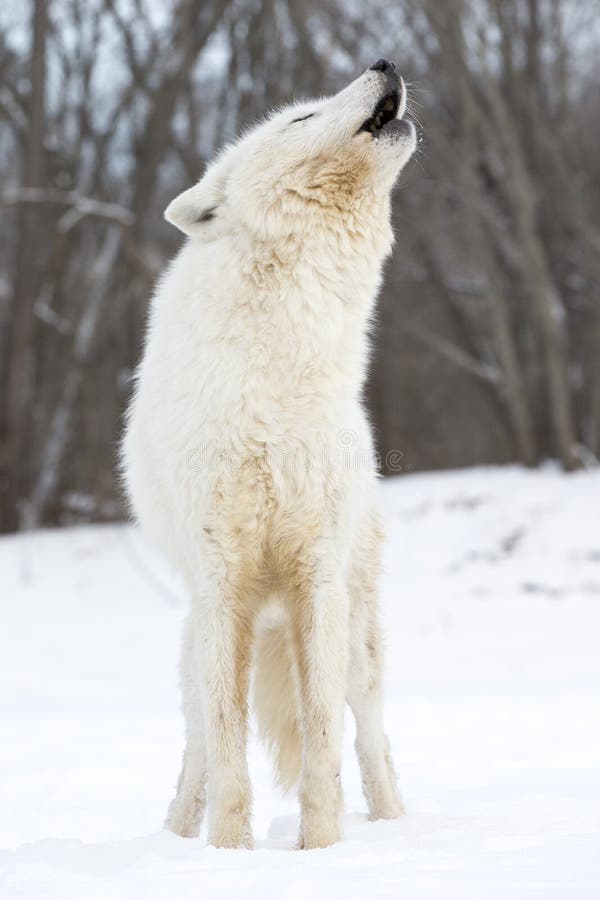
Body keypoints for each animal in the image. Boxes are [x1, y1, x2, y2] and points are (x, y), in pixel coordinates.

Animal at [122, 58, 418, 852]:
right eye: (299, 118)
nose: (385, 62)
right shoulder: (222, 581)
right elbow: (229, 756)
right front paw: (229, 855)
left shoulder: (317, 575)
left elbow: (322, 745)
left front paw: (322, 851)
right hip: (200, 645)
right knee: (196, 752)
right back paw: (175, 838)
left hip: (357, 639)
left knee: (372, 740)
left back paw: (396, 828)